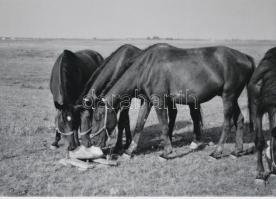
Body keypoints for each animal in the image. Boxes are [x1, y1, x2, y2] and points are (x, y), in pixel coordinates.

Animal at [84, 43, 254, 159]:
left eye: (98, 117)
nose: (94, 143)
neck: (146, 67)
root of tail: (245, 57)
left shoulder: (159, 101)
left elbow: (164, 126)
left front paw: (167, 152)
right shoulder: (146, 101)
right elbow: (139, 125)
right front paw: (129, 150)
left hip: (228, 96)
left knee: (227, 123)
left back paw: (217, 152)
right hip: (233, 97)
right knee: (239, 119)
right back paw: (237, 151)